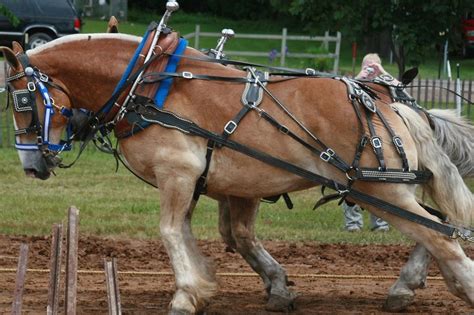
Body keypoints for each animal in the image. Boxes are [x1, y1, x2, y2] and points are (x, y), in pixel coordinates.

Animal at [1, 33, 472, 314]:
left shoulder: (177, 173)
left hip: (379, 188)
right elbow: (218, 234)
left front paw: (186, 293)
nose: (31, 165)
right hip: (383, 189)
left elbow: (171, 231)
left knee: (441, 235)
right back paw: (411, 285)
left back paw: (454, 282)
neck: (147, 86)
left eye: (22, 101)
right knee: (438, 226)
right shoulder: (215, 184)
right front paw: (225, 285)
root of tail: (386, 102)